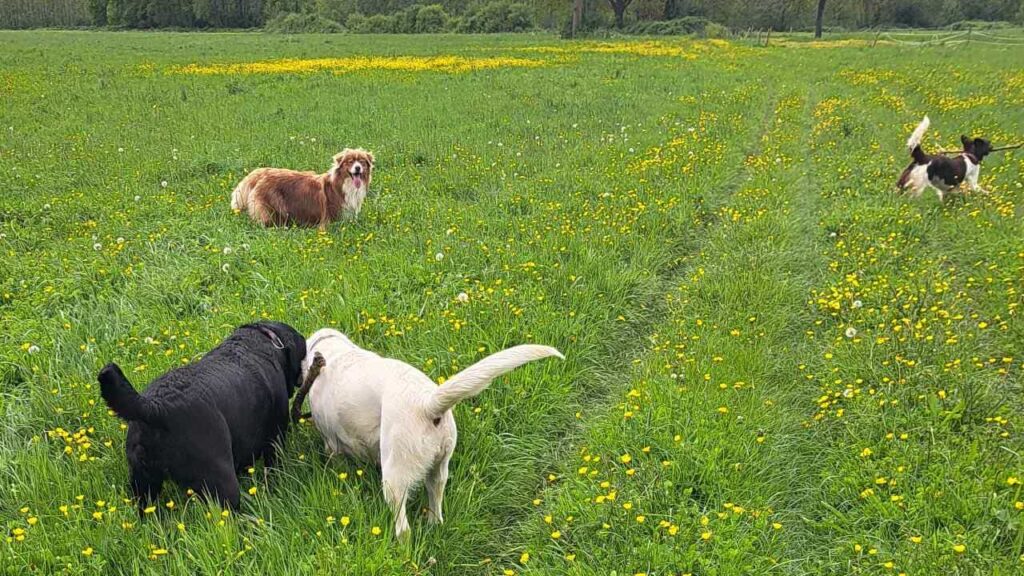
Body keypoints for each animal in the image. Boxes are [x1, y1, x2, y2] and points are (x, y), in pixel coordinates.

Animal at [230, 146, 374, 227]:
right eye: (350, 161)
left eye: (362, 161)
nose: (357, 168)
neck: (344, 185)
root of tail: (260, 173)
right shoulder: (330, 218)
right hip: (272, 206)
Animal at [299, 330, 565, 537]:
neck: (333, 353)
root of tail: (427, 403)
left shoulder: (331, 443)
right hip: (439, 469)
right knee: (436, 507)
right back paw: (433, 526)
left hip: (394, 478)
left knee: (403, 528)